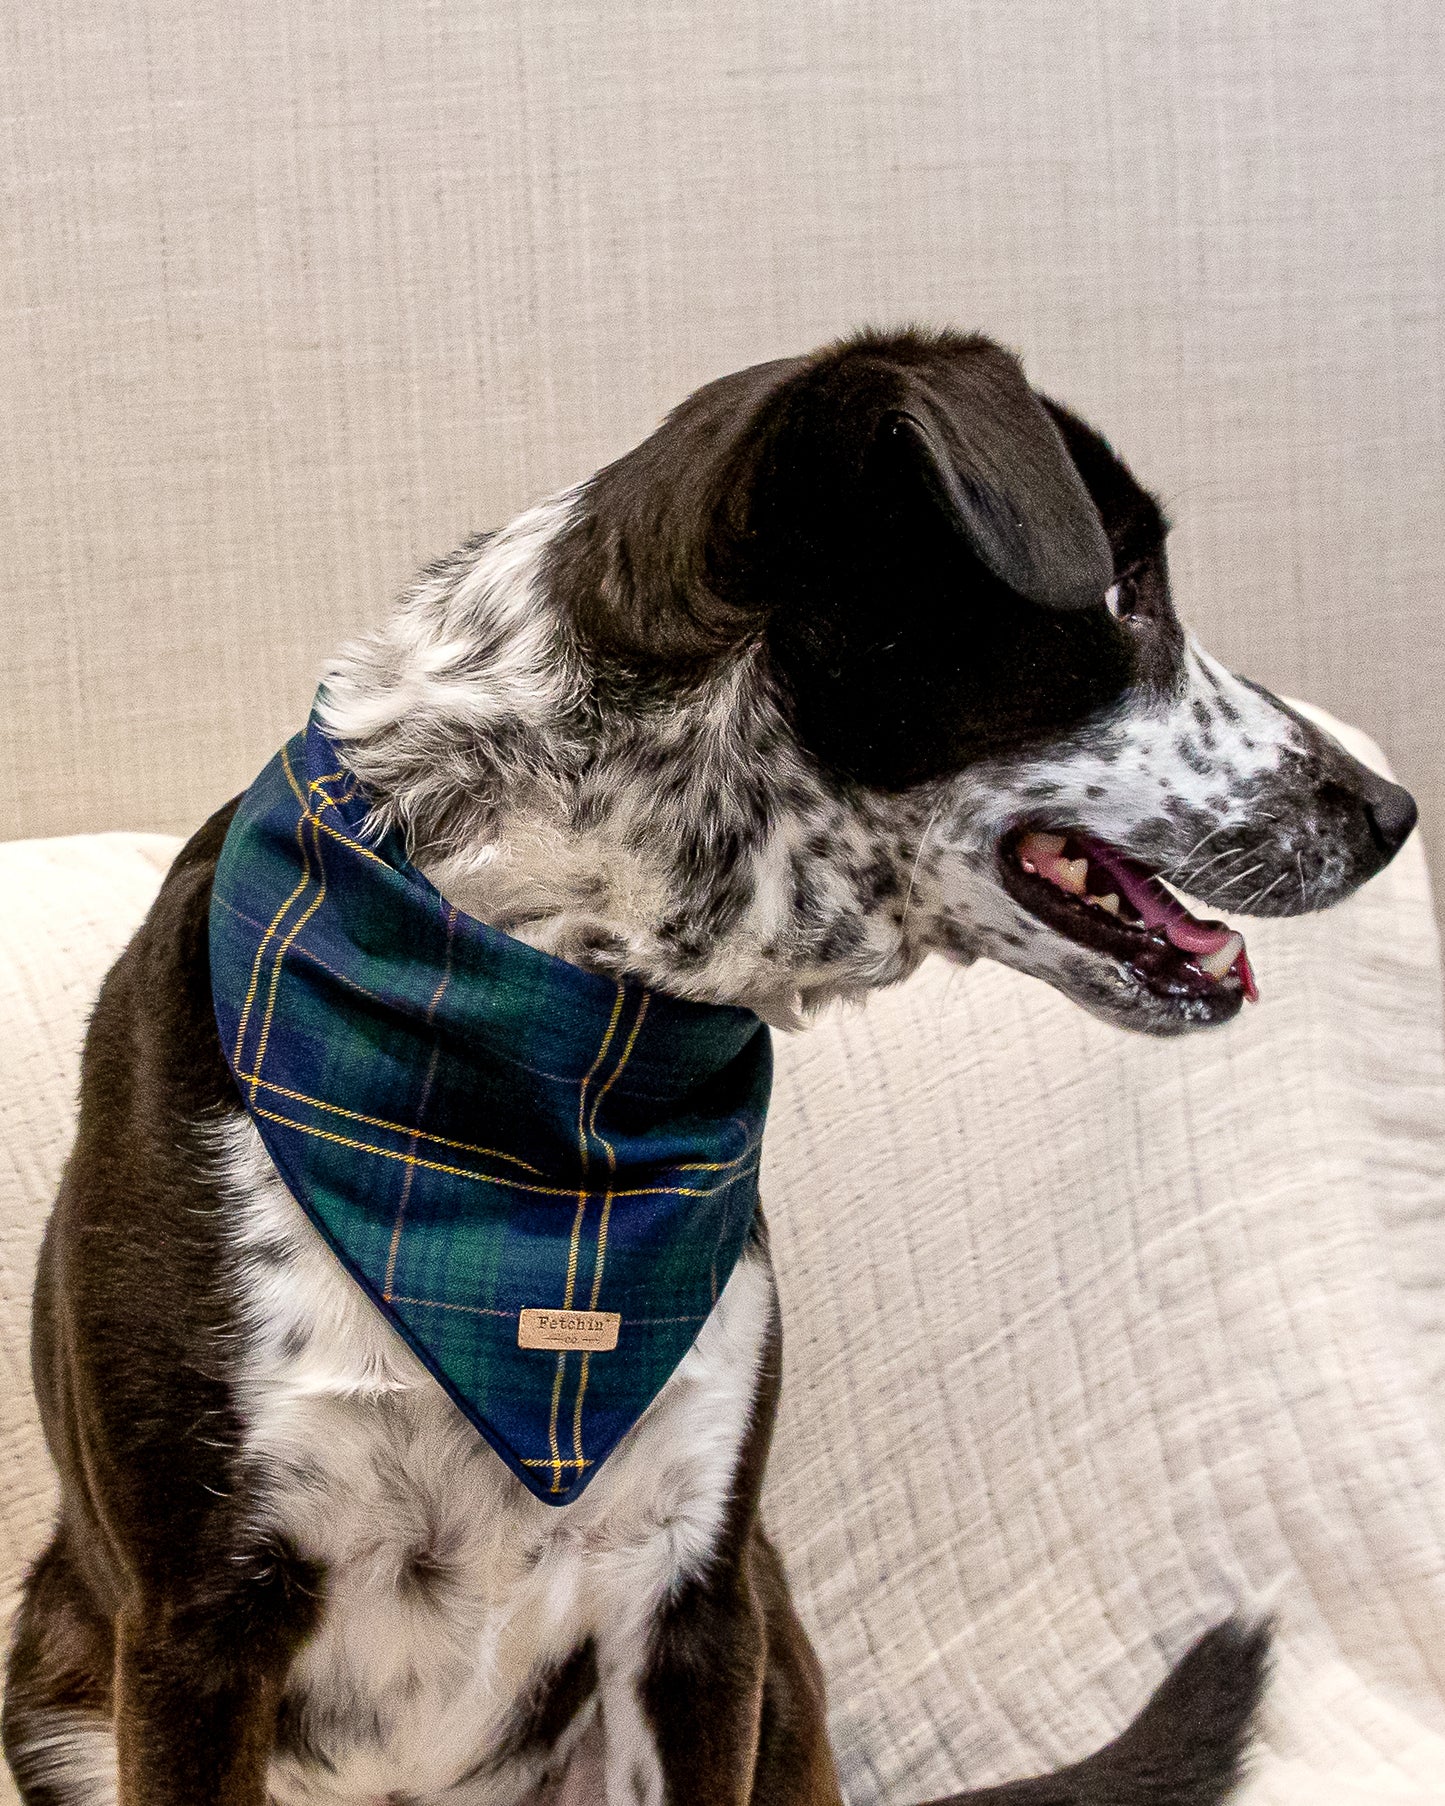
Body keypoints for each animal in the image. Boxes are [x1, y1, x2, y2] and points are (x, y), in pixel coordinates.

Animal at [0, 328, 1416, 1806]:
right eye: (1126, 586)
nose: (1390, 810)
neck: (562, 1034)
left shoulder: (694, 1593)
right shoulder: (196, 1629)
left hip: (775, 1631)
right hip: (53, 1681)